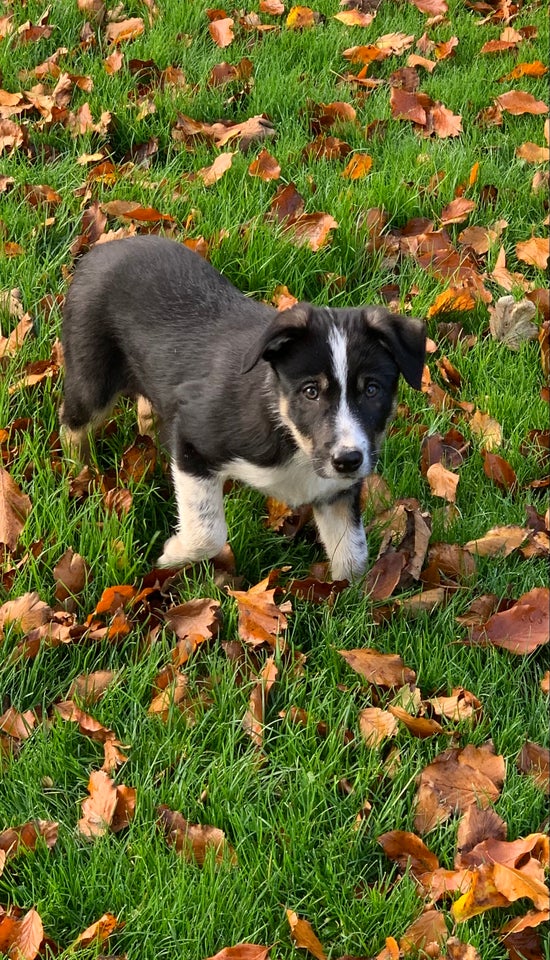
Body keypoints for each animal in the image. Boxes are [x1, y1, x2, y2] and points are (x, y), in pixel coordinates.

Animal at [62, 234, 430, 576]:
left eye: (372, 390)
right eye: (310, 391)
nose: (348, 460)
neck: (289, 434)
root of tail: (102, 249)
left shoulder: (337, 490)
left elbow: (352, 555)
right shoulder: (194, 439)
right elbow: (208, 532)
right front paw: (171, 555)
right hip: (91, 378)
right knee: (72, 426)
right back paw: (79, 473)